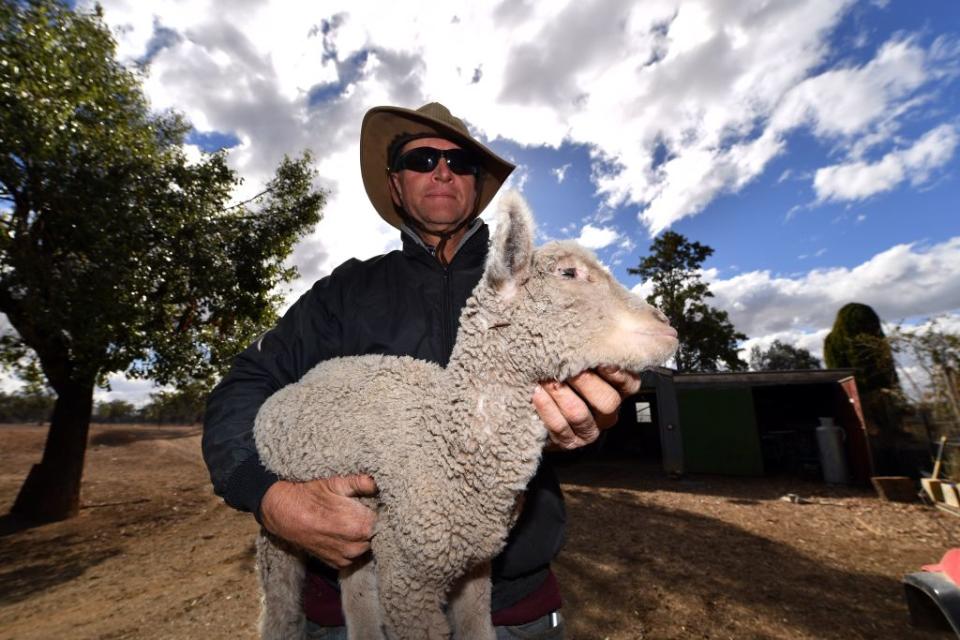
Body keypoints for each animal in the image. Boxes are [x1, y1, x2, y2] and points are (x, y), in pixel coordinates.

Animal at [251, 190, 680, 640]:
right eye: (569, 272)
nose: (667, 326)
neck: (448, 442)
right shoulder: (408, 574)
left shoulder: (474, 566)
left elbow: (477, 626)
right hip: (285, 529)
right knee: (280, 607)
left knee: (355, 594)